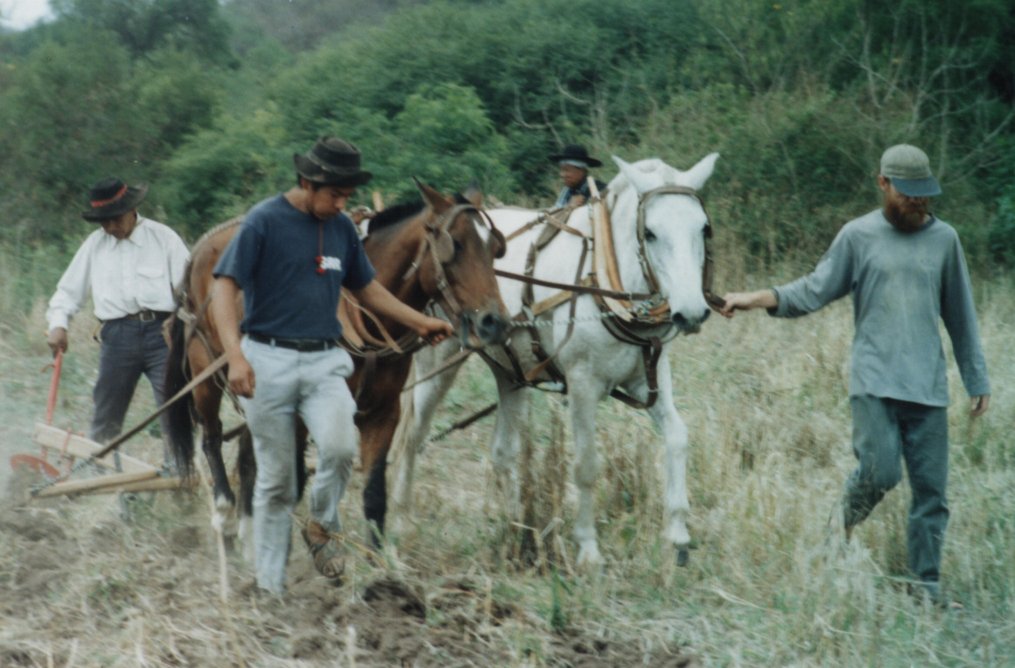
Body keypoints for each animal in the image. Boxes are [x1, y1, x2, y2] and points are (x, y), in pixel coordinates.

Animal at [168, 180, 515, 540]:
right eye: (455, 245)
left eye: (494, 248)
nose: (496, 322)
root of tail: (199, 250)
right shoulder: (302, 415)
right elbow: (296, 482)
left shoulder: (384, 413)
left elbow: (374, 496)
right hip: (205, 372)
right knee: (211, 437)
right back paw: (225, 513)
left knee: (249, 456)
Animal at [391, 153, 718, 564]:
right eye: (651, 233)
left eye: (703, 228)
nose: (691, 313)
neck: (605, 274)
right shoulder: (582, 384)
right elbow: (586, 464)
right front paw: (588, 549)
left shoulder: (650, 376)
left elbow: (677, 438)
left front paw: (677, 535)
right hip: (436, 362)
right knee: (412, 438)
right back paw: (401, 523)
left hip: (510, 372)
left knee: (503, 453)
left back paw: (518, 531)